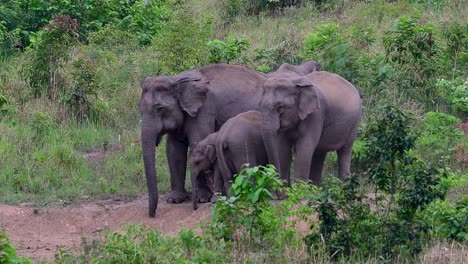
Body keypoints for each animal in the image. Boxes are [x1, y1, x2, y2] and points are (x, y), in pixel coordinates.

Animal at [139, 63, 266, 217]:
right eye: (140, 109)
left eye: (159, 108)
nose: (152, 215)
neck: (176, 79)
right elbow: (173, 150)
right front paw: (174, 200)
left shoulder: (204, 110)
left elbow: (199, 138)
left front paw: (202, 199)